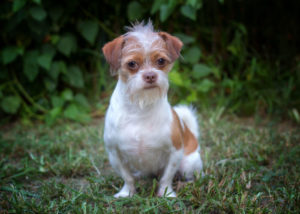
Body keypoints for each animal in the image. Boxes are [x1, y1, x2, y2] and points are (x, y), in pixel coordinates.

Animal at [102, 21, 203, 197]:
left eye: (161, 61)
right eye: (132, 64)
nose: (150, 75)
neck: (140, 108)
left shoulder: (175, 152)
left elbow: (166, 178)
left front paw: (166, 194)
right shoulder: (114, 154)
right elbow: (127, 177)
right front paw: (127, 193)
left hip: (188, 163)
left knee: (191, 175)